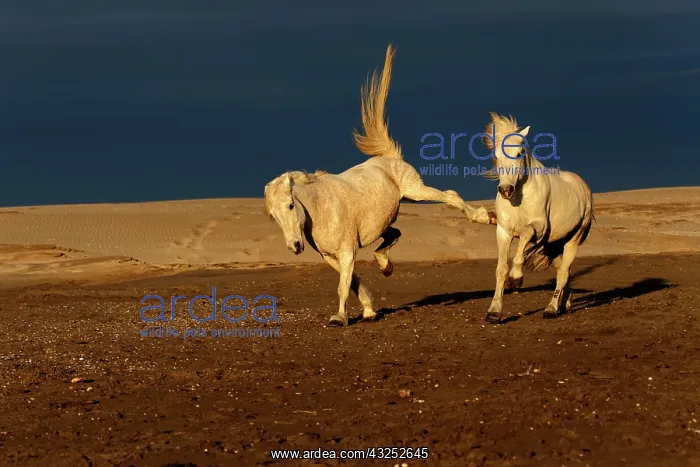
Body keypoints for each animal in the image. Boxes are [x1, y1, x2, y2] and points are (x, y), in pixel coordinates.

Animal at [264, 44, 496, 327]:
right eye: (273, 215)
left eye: (290, 205)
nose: (295, 246)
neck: (321, 210)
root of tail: (390, 157)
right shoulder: (330, 256)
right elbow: (352, 281)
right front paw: (369, 310)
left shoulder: (347, 251)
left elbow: (343, 286)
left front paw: (339, 318)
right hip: (386, 218)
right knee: (394, 234)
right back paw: (385, 266)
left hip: (415, 191)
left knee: (450, 196)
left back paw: (485, 217)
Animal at [482, 112, 594, 323]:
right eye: (496, 156)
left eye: (519, 153)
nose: (506, 190)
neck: (519, 200)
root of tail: (582, 186)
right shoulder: (503, 232)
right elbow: (501, 269)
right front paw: (494, 312)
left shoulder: (538, 228)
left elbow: (523, 241)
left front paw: (516, 279)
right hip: (555, 245)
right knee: (563, 272)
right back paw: (566, 304)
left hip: (573, 240)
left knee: (563, 274)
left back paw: (551, 309)